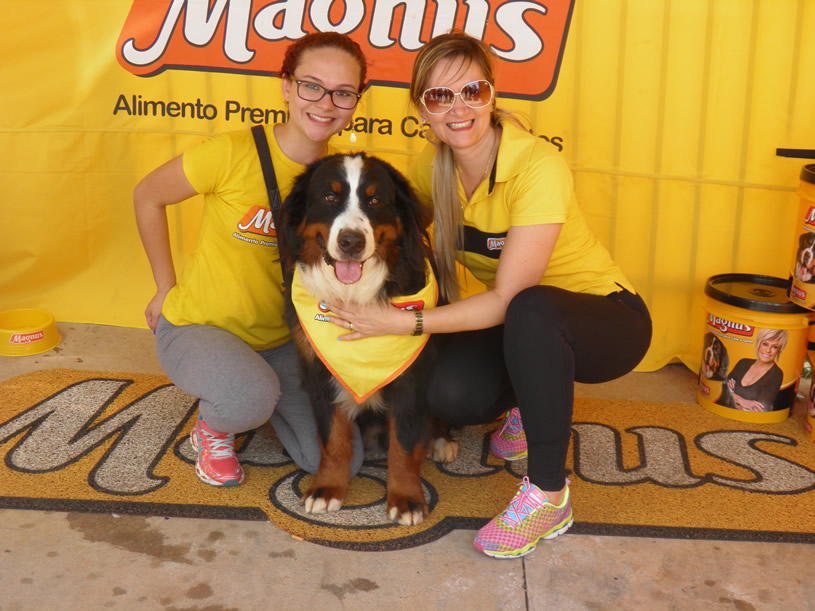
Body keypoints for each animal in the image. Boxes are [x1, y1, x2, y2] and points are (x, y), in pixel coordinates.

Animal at [278, 152, 457, 526]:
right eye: (329, 196)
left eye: (375, 200)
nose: (351, 241)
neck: (354, 297)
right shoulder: (319, 371)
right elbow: (332, 438)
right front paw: (327, 488)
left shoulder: (411, 379)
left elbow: (404, 443)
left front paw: (406, 498)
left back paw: (441, 441)